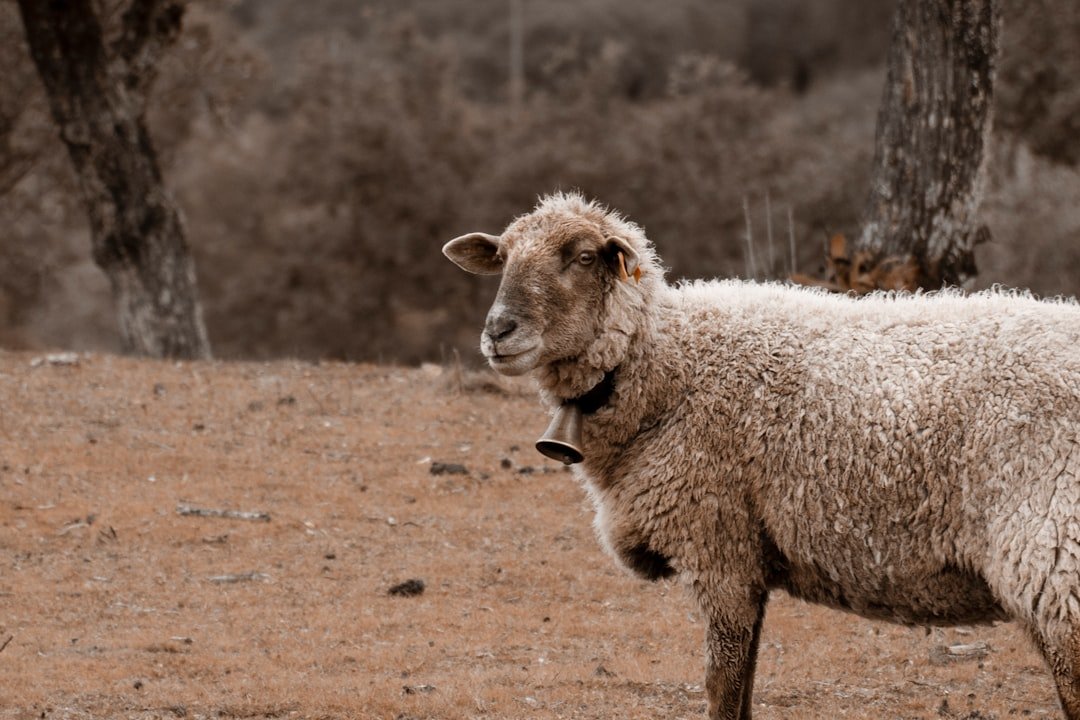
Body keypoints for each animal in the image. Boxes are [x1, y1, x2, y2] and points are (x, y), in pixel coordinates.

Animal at [442, 191, 1080, 720]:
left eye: (580, 257)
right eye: (503, 257)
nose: (498, 331)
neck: (669, 363)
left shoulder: (720, 545)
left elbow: (722, 688)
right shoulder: (745, 556)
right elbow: (743, 684)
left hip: (1056, 559)